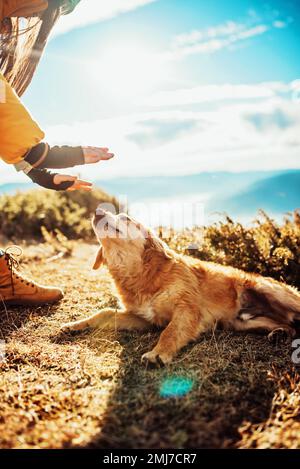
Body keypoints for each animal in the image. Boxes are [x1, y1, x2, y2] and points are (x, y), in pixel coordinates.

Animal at [61, 207, 300, 366]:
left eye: (126, 218)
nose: (97, 210)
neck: (143, 276)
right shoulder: (143, 318)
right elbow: (104, 313)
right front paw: (75, 325)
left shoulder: (187, 308)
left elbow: (171, 331)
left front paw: (157, 354)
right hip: (243, 322)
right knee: (289, 326)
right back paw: (279, 333)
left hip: (270, 290)